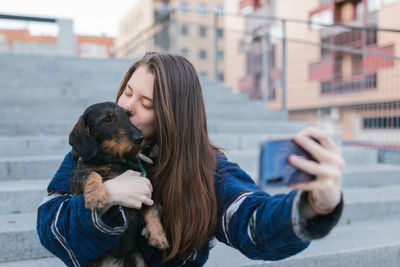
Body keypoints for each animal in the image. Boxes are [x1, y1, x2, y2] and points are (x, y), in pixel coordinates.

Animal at [69, 102, 169, 267]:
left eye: (128, 115)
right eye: (107, 120)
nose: (139, 138)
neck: (114, 160)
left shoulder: (146, 191)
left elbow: (153, 209)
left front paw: (158, 235)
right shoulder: (77, 177)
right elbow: (92, 174)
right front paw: (95, 195)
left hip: (137, 258)